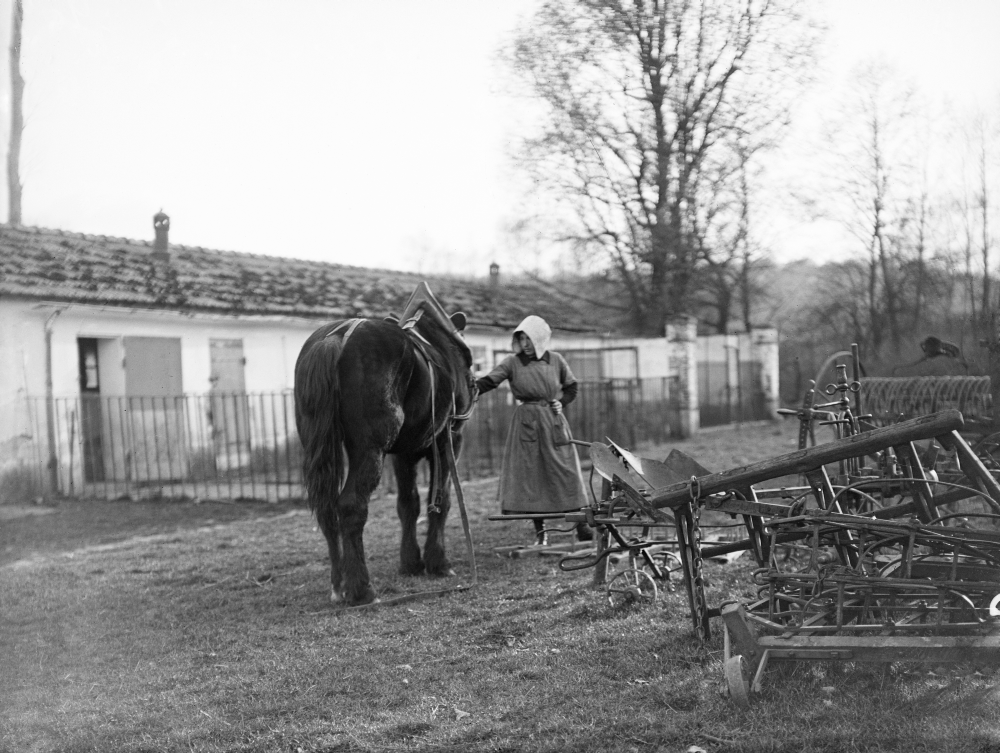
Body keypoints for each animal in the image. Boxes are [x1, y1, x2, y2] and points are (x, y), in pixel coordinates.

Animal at [292, 282, 478, 604]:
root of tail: (336, 338)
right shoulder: (449, 442)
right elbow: (441, 502)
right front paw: (438, 562)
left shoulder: (403, 454)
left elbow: (408, 504)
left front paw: (411, 562)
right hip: (370, 450)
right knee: (351, 506)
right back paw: (361, 588)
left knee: (327, 509)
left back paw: (339, 585)